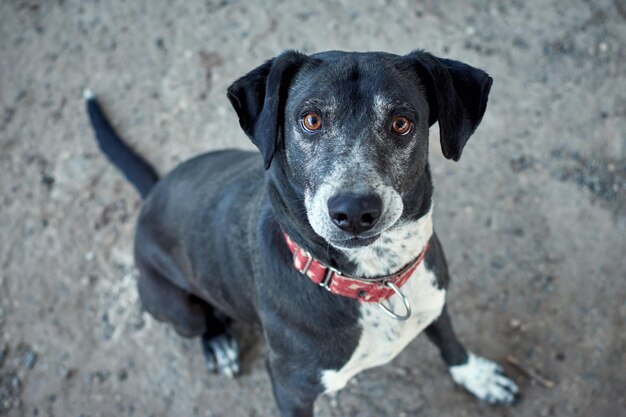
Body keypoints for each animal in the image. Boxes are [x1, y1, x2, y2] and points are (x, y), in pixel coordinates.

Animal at [86, 48, 516, 412]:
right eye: (311, 120)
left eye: (401, 123)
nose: (354, 211)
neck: (375, 280)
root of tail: (154, 191)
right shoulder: (291, 389)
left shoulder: (435, 298)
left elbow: (449, 339)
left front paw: (476, 375)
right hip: (175, 305)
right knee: (198, 320)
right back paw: (218, 343)